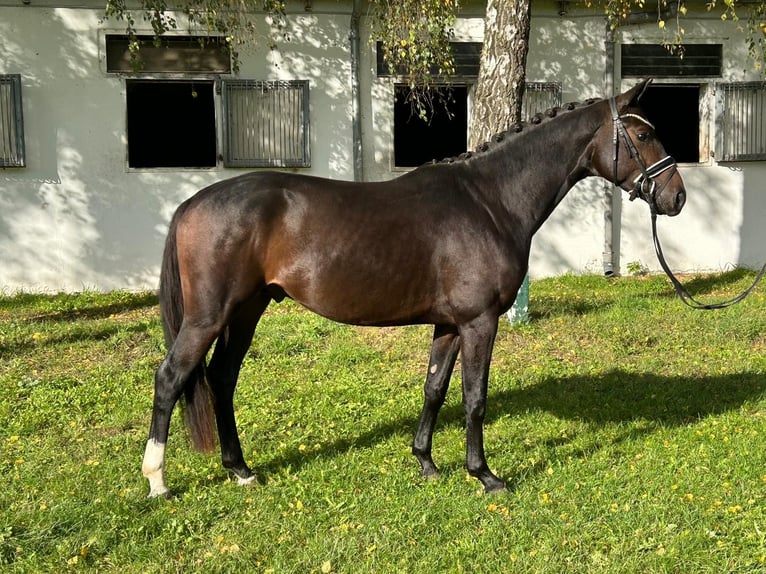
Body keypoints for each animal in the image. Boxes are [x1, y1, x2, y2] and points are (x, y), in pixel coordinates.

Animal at [142, 77, 688, 500]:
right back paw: (157, 481)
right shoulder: (479, 322)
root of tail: (192, 203)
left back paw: (240, 470)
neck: (489, 200)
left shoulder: (448, 323)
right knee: (171, 377)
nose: (677, 197)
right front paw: (485, 475)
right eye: (643, 133)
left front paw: (425, 462)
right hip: (210, 314)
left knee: (221, 378)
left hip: (247, 309)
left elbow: (434, 388)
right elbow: (474, 398)